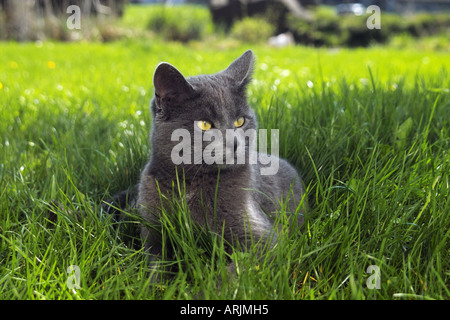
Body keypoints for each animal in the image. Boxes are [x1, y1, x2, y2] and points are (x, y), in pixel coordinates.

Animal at [105, 50, 306, 278]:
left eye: (240, 121)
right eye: (205, 125)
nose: (234, 143)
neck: (190, 182)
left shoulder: (266, 240)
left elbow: (231, 274)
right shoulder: (154, 231)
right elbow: (155, 265)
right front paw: (156, 283)